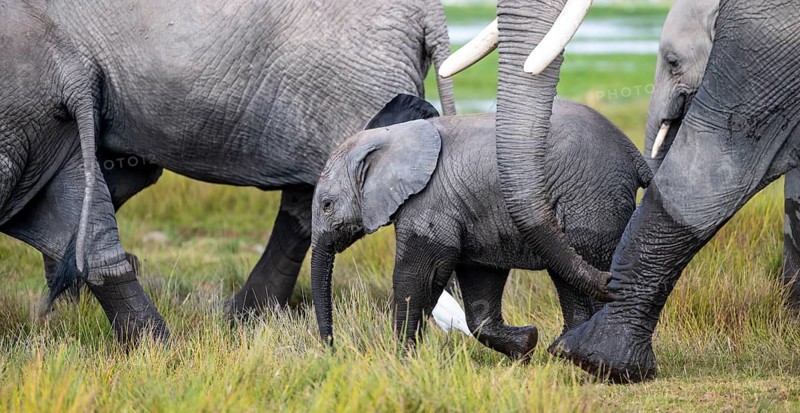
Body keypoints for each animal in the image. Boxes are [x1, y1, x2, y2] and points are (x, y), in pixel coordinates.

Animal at [310, 94, 651, 359]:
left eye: (327, 205)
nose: (332, 351)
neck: (390, 136)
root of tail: (633, 152)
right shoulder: (472, 211)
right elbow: (480, 285)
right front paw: (525, 346)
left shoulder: (431, 201)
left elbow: (417, 276)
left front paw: (400, 362)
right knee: (567, 273)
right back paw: (563, 352)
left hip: (591, 198)